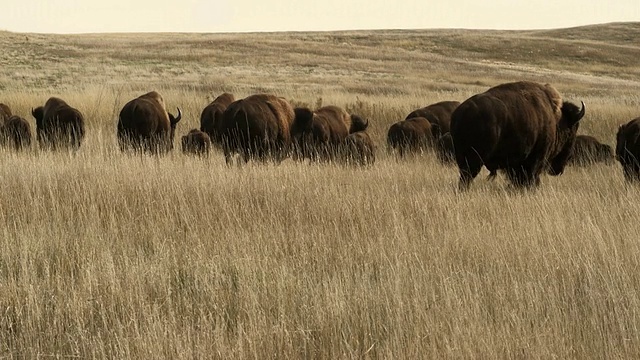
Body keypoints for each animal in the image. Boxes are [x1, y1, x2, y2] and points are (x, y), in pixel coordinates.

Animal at [450, 80, 584, 190]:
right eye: (571, 131)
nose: (559, 169)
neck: (556, 117)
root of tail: (461, 113)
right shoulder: (536, 158)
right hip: (474, 160)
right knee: (466, 178)